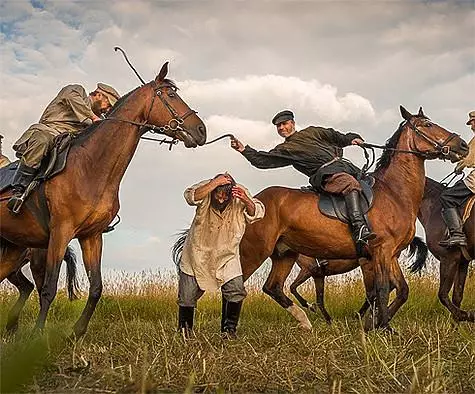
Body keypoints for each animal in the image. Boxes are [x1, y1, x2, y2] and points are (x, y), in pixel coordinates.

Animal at [0, 63, 208, 338]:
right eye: (171, 95)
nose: (201, 130)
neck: (90, 167)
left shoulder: (92, 236)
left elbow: (96, 287)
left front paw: (76, 332)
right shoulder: (60, 234)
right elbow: (49, 289)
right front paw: (37, 336)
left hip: (12, 250)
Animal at [240, 106, 470, 330]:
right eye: (428, 125)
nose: (463, 145)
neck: (394, 193)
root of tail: (253, 201)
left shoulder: (391, 254)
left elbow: (401, 290)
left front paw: (376, 323)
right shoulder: (381, 250)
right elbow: (383, 289)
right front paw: (383, 327)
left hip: (284, 254)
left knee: (273, 288)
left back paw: (305, 321)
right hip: (254, 251)